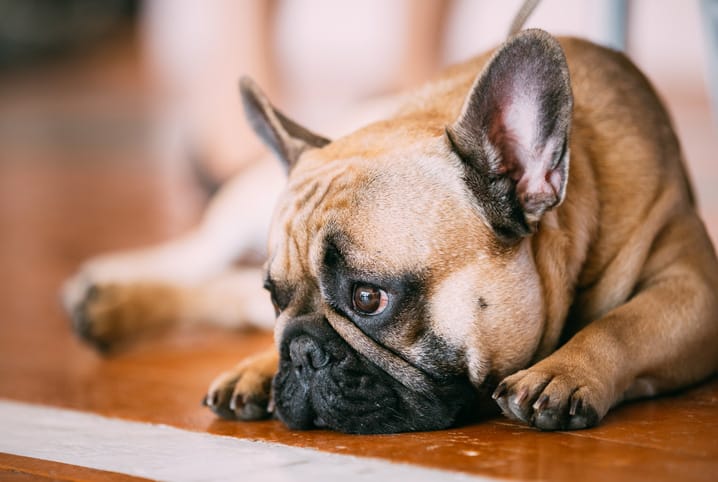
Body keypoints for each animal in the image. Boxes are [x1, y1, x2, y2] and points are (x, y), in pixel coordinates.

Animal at [62, 5, 718, 434]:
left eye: (369, 298)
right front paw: (260, 364)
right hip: (236, 212)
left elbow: (624, 324)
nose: (300, 353)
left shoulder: (694, 290)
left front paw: (564, 370)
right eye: (278, 298)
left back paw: (106, 306)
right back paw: (103, 290)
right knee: (202, 253)